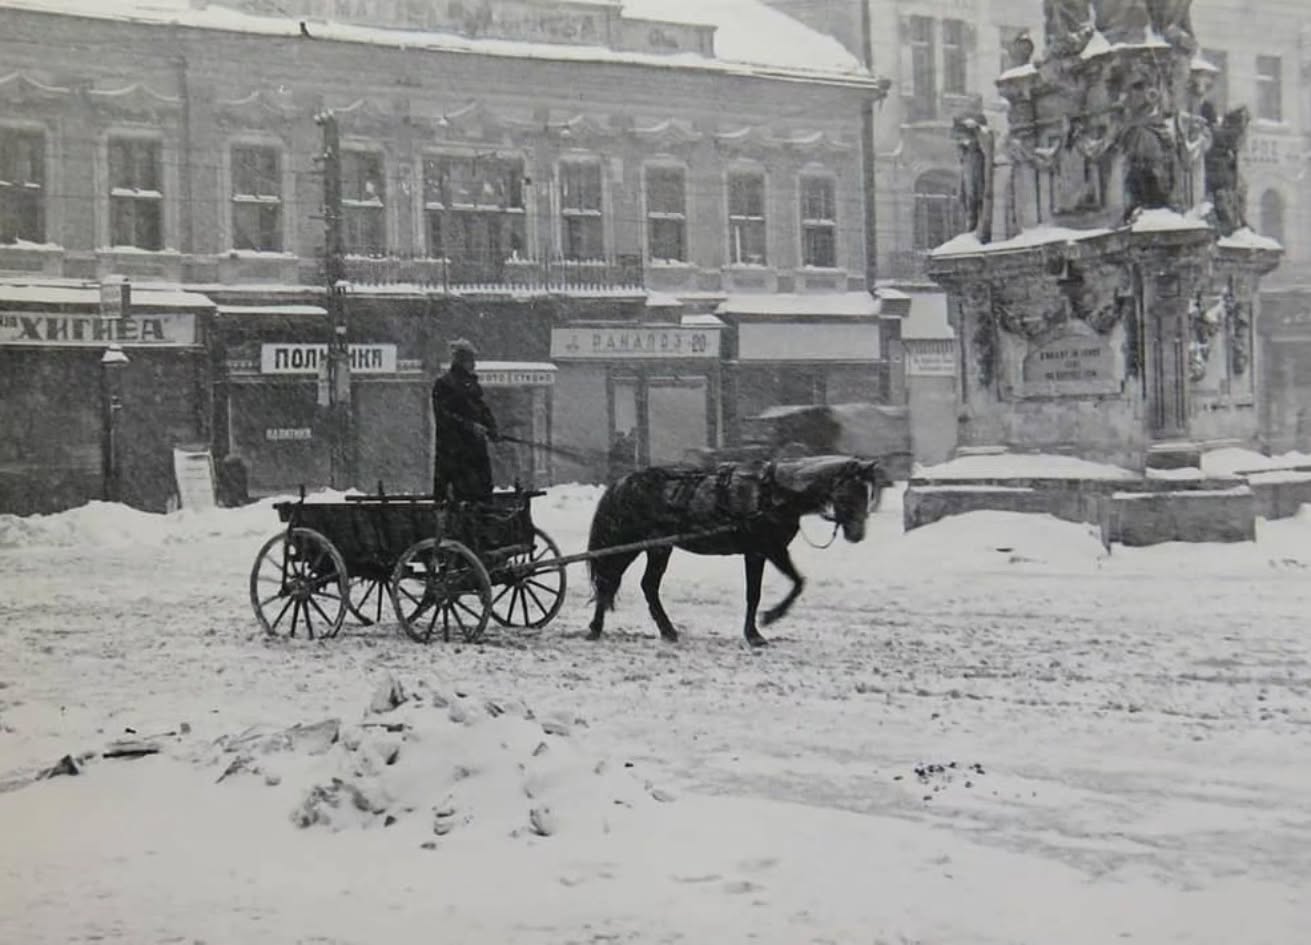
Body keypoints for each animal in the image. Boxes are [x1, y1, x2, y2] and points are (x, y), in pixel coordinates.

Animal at [584, 453, 891, 644]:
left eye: (868, 493)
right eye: (851, 492)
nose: (857, 534)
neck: (774, 493)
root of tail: (622, 483)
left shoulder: (770, 550)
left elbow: (793, 583)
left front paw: (765, 621)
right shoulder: (762, 550)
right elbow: (759, 592)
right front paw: (759, 629)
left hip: (659, 548)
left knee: (645, 585)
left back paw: (667, 630)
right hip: (629, 545)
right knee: (608, 581)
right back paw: (596, 628)